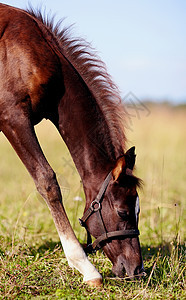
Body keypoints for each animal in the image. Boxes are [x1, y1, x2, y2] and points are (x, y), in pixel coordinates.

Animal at [0, 4, 145, 286]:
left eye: (138, 211)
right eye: (123, 212)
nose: (136, 270)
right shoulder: (12, 117)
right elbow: (47, 181)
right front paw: (86, 267)